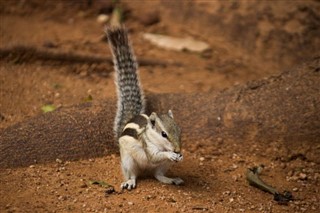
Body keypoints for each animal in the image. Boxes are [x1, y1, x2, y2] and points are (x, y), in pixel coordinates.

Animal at [106, 26, 184, 190]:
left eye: (179, 130)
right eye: (164, 134)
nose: (177, 150)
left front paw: (180, 156)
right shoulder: (148, 147)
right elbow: (154, 157)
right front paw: (171, 154)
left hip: (163, 166)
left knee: (158, 175)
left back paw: (171, 179)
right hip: (128, 161)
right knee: (133, 175)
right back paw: (130, 181)